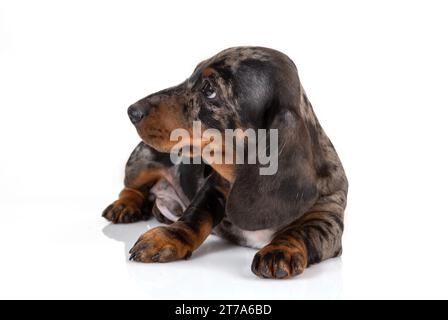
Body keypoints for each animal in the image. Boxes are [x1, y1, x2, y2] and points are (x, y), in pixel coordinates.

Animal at [103, 46, 348, 278]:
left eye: (209, 89)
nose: (132, 111)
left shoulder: (327, 215)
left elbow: (302, 231)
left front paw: (280, 249)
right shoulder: (213, 188)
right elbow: (194, 217)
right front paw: (167, 237)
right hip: (141, 161)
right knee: (132, 187)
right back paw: (125, 205)